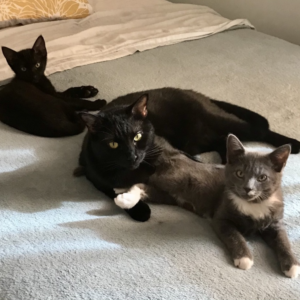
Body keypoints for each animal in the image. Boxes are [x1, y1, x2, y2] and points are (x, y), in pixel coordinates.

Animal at [106, 88, 300, 163]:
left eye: (136, 136)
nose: (132, 155)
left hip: (219, 121)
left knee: (260, 130)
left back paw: (294, 144)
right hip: (198, 140)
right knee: (223, 141)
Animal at [114, 135, 298, 278]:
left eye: (262, 178)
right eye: (239, 173)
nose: (248, 188)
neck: (253, 204)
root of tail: (177, 153)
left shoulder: (275, 221)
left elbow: (283, 240)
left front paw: (292, 265)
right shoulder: (222, 216)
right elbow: (234, 235)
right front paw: (244, 258)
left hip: (171, 194)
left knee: (145, 187)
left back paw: (126, 199)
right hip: (173, 180)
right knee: (144, 181)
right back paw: (121, 194)